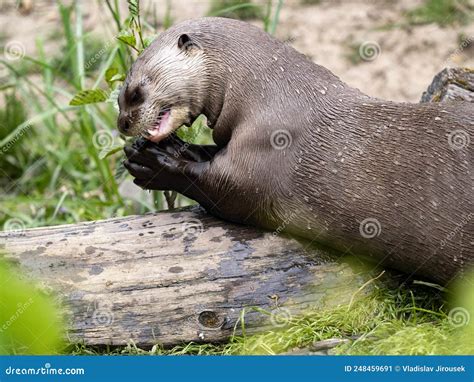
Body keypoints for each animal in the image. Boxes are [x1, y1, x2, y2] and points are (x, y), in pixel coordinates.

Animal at [116, 16, 472, 286]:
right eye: (119, 97)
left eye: (135, 93)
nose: (122, 123)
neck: (271, 94)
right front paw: (168, 147)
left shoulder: (264, 154)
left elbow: (221, 188)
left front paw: (151, 163)